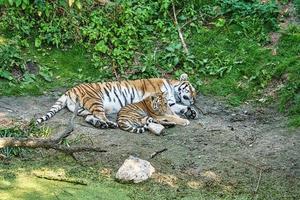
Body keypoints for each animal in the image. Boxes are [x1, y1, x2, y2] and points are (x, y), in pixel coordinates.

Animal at [36, 73, 198, 128]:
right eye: (191, 89)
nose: (194, 100)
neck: (172, 88)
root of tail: (69, 90)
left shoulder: (170, 102)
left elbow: (177, 108)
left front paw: (191, 112)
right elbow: (171, 114)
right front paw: (185, 119)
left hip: (82, 109)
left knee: (90, 118)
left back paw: (101, 125)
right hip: (95, 100)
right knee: (100, 115)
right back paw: (109, 123)